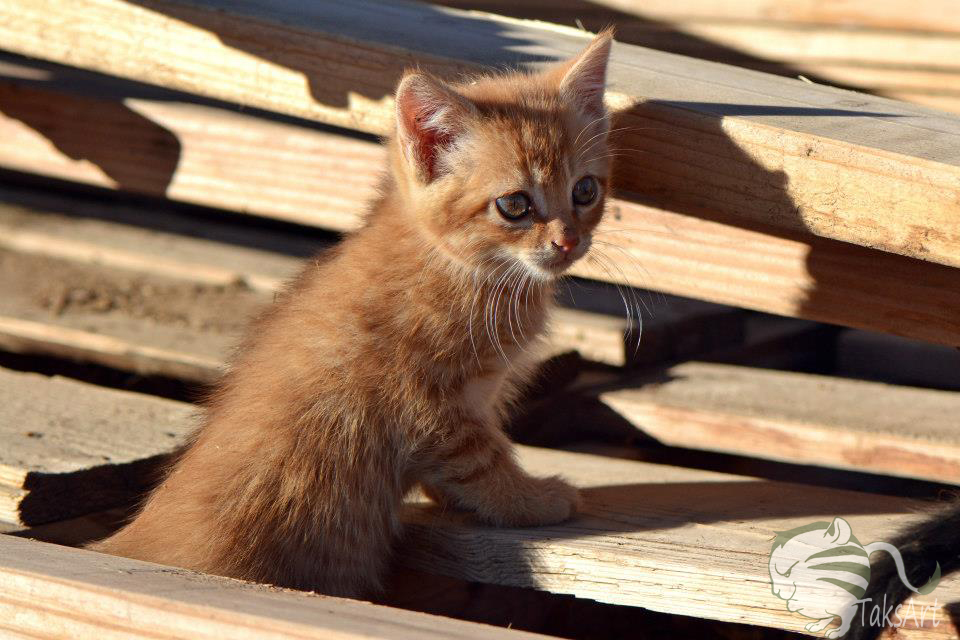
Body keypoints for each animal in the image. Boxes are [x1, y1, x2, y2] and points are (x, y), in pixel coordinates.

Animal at [92, 30, 616, 596]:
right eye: (514, 205)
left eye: (585, 190)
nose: (568, 242)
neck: (463, 270)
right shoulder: (431, 408)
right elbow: (483, 462)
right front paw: (532, 500)